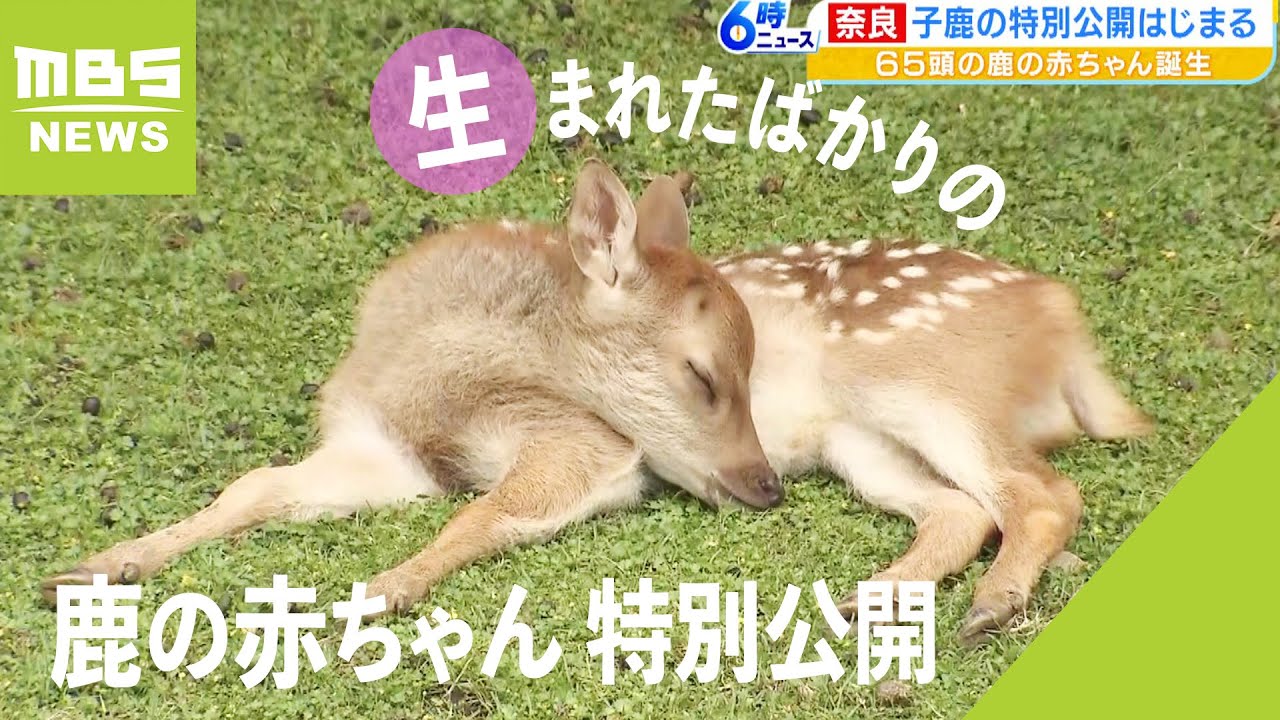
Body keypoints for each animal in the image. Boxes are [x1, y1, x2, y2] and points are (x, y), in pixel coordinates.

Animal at [39, 159, 1151, 647]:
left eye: (740, 368)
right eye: (703, 374)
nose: (762, 488)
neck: (434, 375)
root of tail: (1061, 319)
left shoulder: (584, 444)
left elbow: (484, 513)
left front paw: (380, 591)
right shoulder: (379, 449)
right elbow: (252, 488)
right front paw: (98, 565)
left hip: (925, 386)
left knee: (1040, 494)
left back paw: (991, 607)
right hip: (861, 441)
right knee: (964, 509)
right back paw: (863, 596)